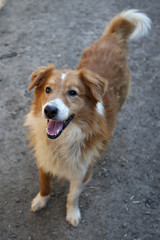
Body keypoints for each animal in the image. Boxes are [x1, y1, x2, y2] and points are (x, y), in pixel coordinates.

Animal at [24, 9, 151, 227]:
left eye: (73, 93)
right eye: (48, 89)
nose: (49, 110)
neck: (61, 143)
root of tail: (110, 39)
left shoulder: (82, 172)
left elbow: (72, 196)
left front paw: (72, 214)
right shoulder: (43, 158)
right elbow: (44, 184)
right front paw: (40, 200)